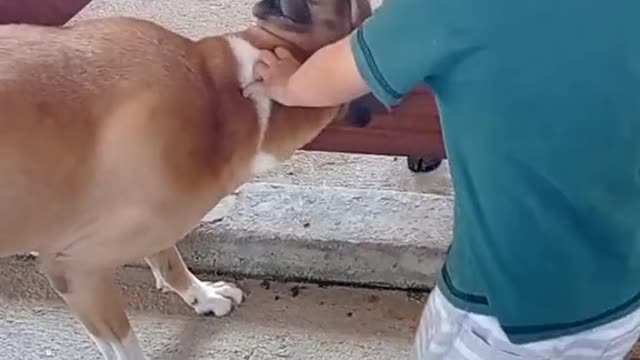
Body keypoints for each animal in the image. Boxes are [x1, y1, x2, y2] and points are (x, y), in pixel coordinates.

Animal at [0, 0, 372, 358]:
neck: (220, 96)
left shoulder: (150, 227)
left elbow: (169, 261)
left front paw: (205, 297)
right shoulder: (77, 271)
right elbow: (124, 345)